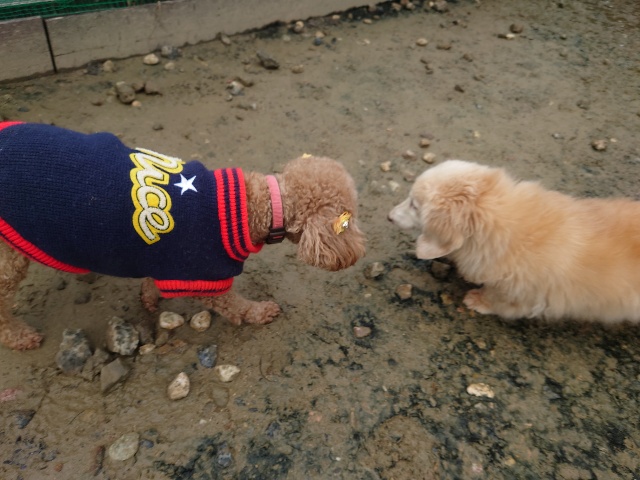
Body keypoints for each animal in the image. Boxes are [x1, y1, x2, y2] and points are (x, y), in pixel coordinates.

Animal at [0, 122, 366, 350]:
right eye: (349, 220)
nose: (361, 250)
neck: (261, 204)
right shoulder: (205, 274)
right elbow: (234, 305)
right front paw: (259, 312)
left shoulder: (162, 256)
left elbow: (152, 280)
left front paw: (149, 297)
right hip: (8, 258)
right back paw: (19, 336)